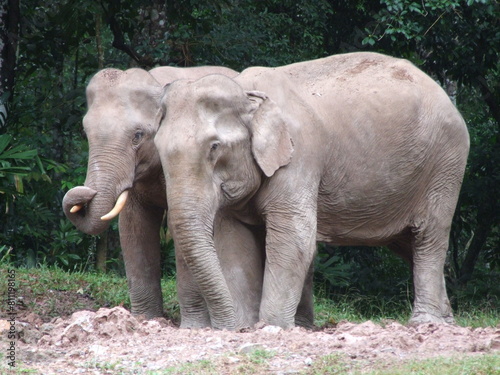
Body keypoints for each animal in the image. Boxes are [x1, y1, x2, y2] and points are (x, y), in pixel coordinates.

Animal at [63, 64, 274, 328]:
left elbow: (175, 225)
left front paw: (193, 327)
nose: (83, 195)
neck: (156, 82)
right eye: (85, 132)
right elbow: (133, 226)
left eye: (138, 135)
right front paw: (144, 319)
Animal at [154, 52, 470, 328]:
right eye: (157, 147)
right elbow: (233, 241)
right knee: (409, 243)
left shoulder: (300, 156)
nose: (223, 326)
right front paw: (245, 326)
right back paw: (446, 321)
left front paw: (270, 327)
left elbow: (294, 238)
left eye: (215, 147)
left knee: (429, 236)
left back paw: (426, 323)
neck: (248, 93)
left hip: (446, 163)